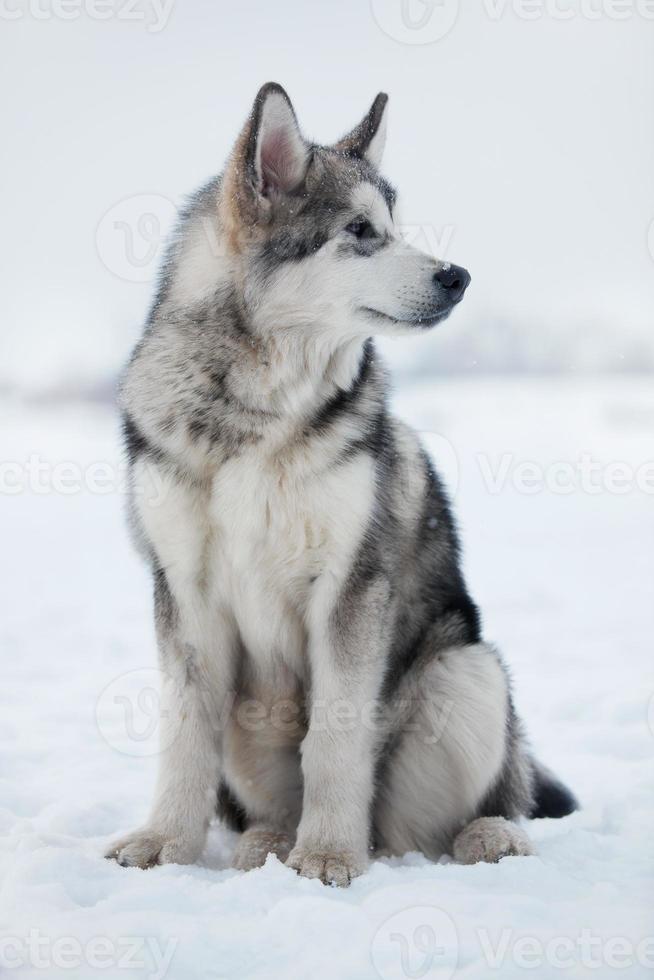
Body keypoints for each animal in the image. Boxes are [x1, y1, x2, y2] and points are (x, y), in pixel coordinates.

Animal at [109, 80, 580, 884]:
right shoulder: (183, 591)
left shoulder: (350, 586)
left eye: (396, 227)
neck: (260, 415)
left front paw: (329, 854)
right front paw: (164, 843)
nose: (457, 276)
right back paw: (265, 842)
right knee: (273, 806)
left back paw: (481, 838)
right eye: (361, 231)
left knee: (441, 821)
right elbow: (183, 737)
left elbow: (333, 739)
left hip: (469, 671)